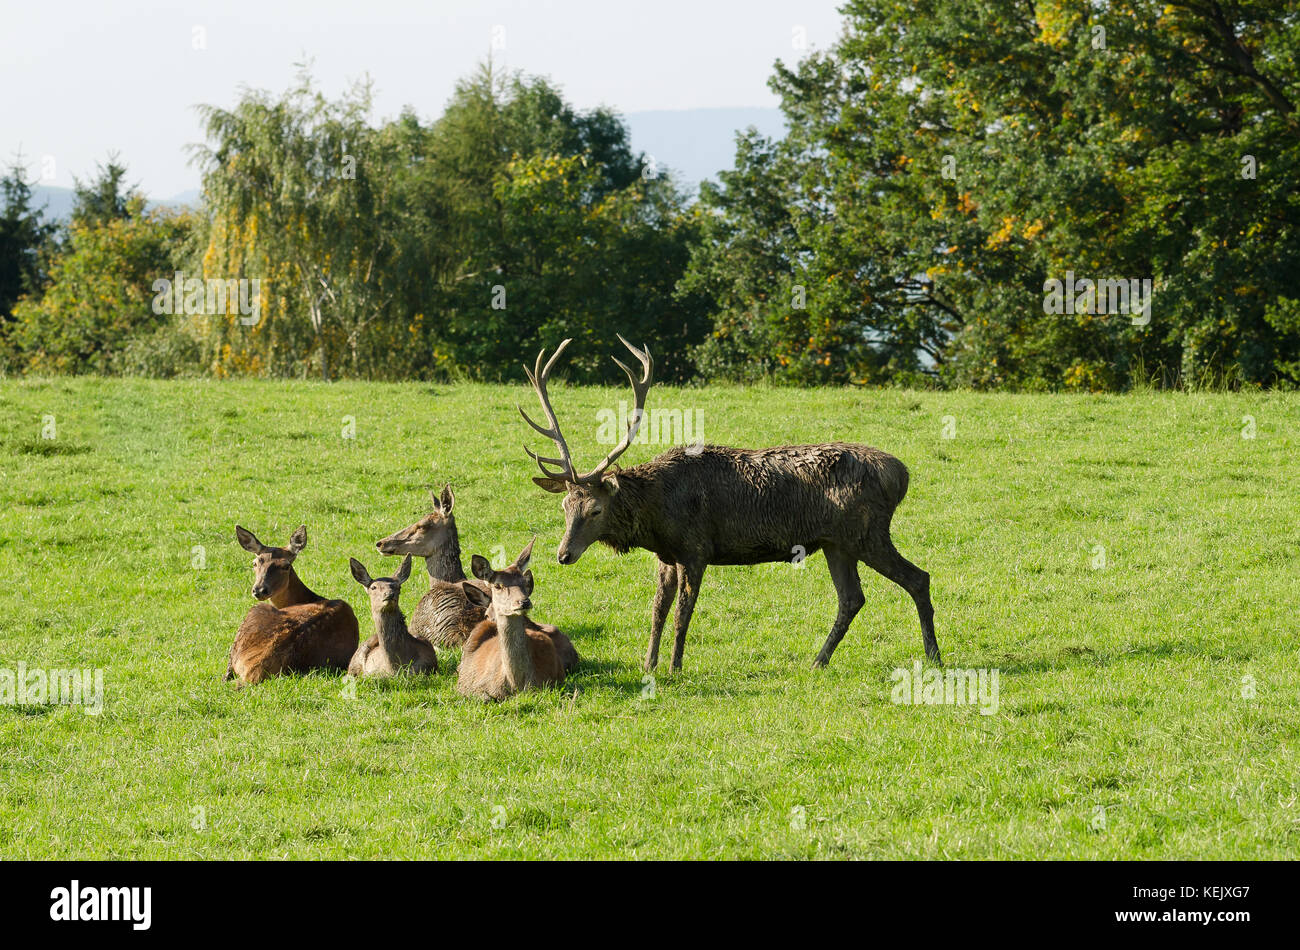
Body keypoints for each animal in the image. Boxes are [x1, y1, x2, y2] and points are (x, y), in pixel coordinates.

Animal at [457, 538, 579, 701]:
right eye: (498, 586)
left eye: (523, 582)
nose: (524, 602)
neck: (516, 684)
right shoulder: (472, 688)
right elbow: (485, 697)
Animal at [522, 337, 941, 670]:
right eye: (565, 507)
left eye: (595, 509)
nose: (563, 555)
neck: (657, 516)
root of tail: (901, 474)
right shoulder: (666, 556)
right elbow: (657, 610)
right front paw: (648, 663)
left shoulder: (696, 548)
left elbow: (682, 613)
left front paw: (674, 667)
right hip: (837, 544)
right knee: (852, 598)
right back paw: (817, 662)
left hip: (867, 533)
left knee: (918, 578)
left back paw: (933, 655)